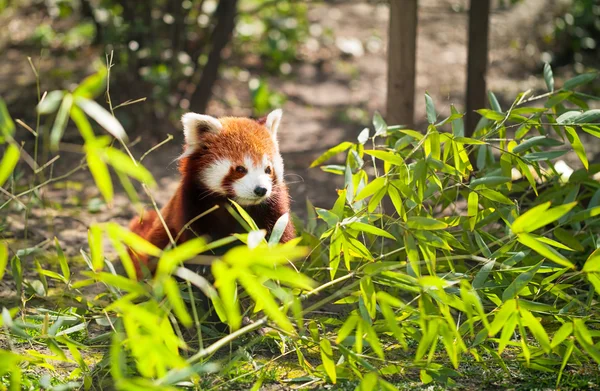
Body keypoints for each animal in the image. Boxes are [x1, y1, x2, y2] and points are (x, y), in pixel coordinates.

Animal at [129, 110, 296, 276]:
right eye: (240, 169)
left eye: (268, 169)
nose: (261, 189)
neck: (236, 206)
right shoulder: (191, 202)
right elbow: (196, 237)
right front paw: (202, 265)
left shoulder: (273, 206)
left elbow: (280, 236)